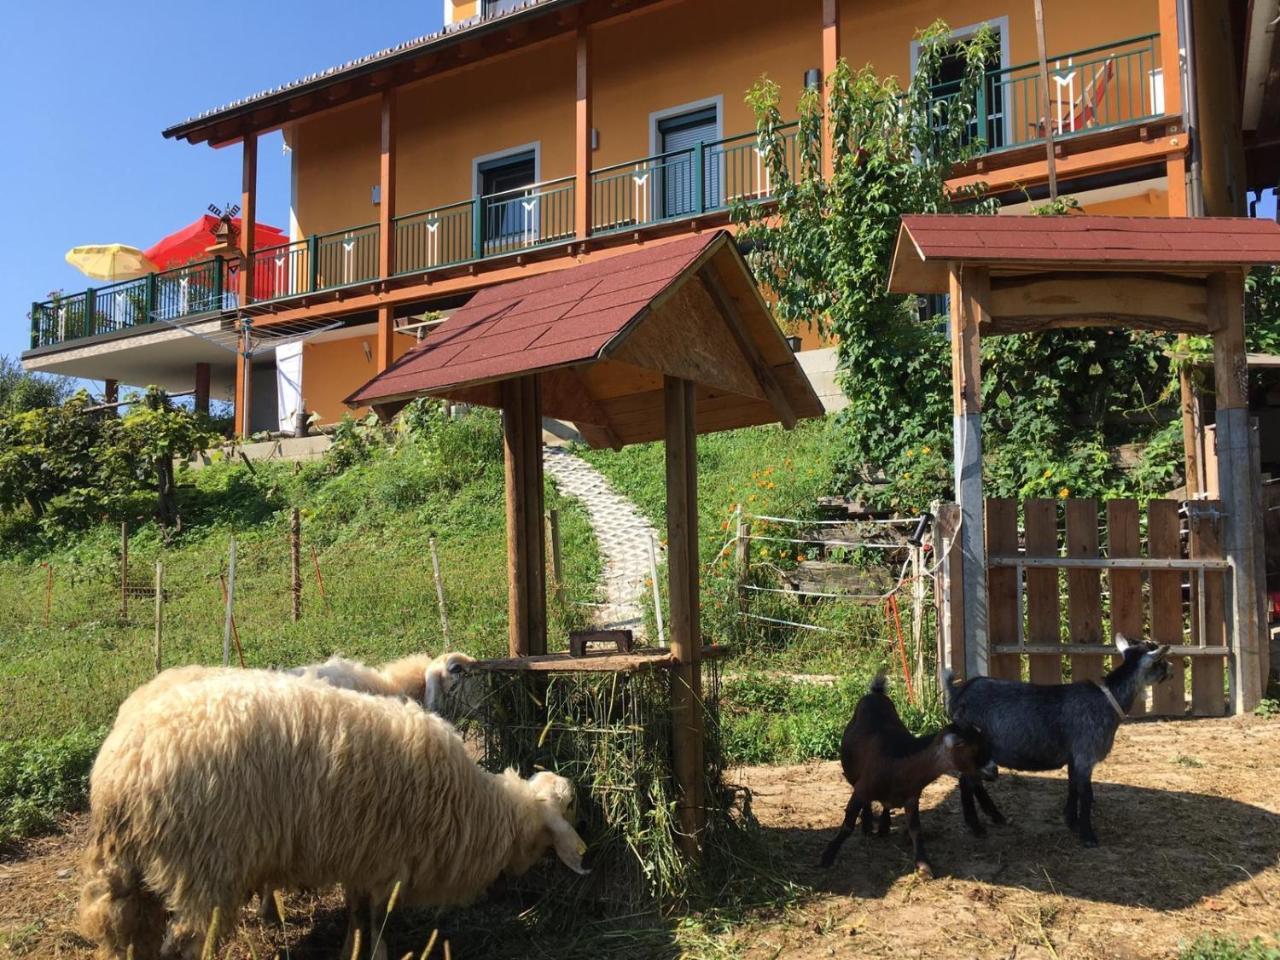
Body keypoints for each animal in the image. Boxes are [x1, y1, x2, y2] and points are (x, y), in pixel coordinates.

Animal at [82, 670, 591, 960]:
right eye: (569, 809)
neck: (476, 806)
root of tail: (119, 774)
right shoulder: (388, 859)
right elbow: (375, 917)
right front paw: (375, 951)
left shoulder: (360, 856)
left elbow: (357, 911)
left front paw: (354, 947)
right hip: (202, 868)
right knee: (184, 943)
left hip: (135, 874)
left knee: (130, 934)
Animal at [819, 675, 998, 880]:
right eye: (973, 749)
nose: (994, 770)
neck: (899, 762)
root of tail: (876, 694)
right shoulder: (861, 790)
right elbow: (848, 825)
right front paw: (828, 856)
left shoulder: (912, 797)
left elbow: (915, 830)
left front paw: (923, 865)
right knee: (867, 804)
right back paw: (867, 824)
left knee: (886, 806)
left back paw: (883, 826)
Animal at [947, 640, 1172, 849]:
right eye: (1159, 661)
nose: (1171, 669)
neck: (1108, 700)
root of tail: (958, 692)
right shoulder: (1085, 755)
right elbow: (1086, 794)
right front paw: (1087, 836)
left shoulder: (1074, 757)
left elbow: (1073, 786)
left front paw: (1071, 820)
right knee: (966, 783)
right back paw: (976, 826)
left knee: (974, 782)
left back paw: (995, 816)